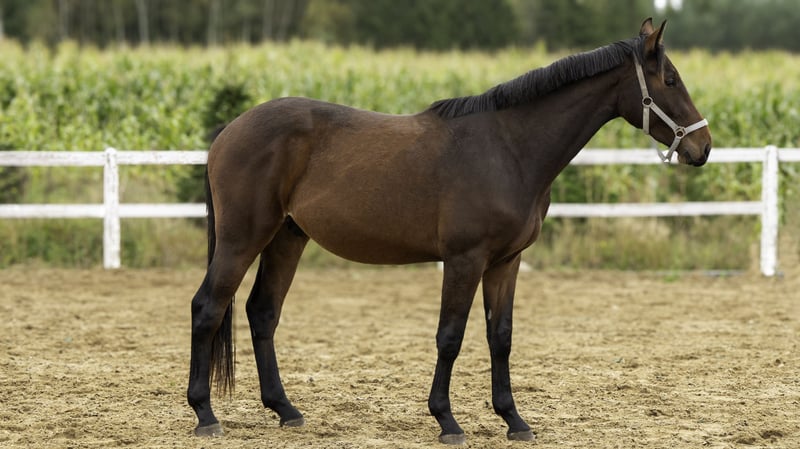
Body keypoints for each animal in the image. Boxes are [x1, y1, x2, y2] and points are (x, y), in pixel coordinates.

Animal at [187, 18, 711, 445]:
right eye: (669, 80)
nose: (703, 147)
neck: (509, 149)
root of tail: (228, 131)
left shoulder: (506, 262)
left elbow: (501, 335)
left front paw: (514, 421)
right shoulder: (464, 259)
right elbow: (451, 336)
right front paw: (447, 420)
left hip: (287, 238)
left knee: (262, 312)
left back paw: (285, 410)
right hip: (242, 239)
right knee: (208, 307)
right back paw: (205, 414)